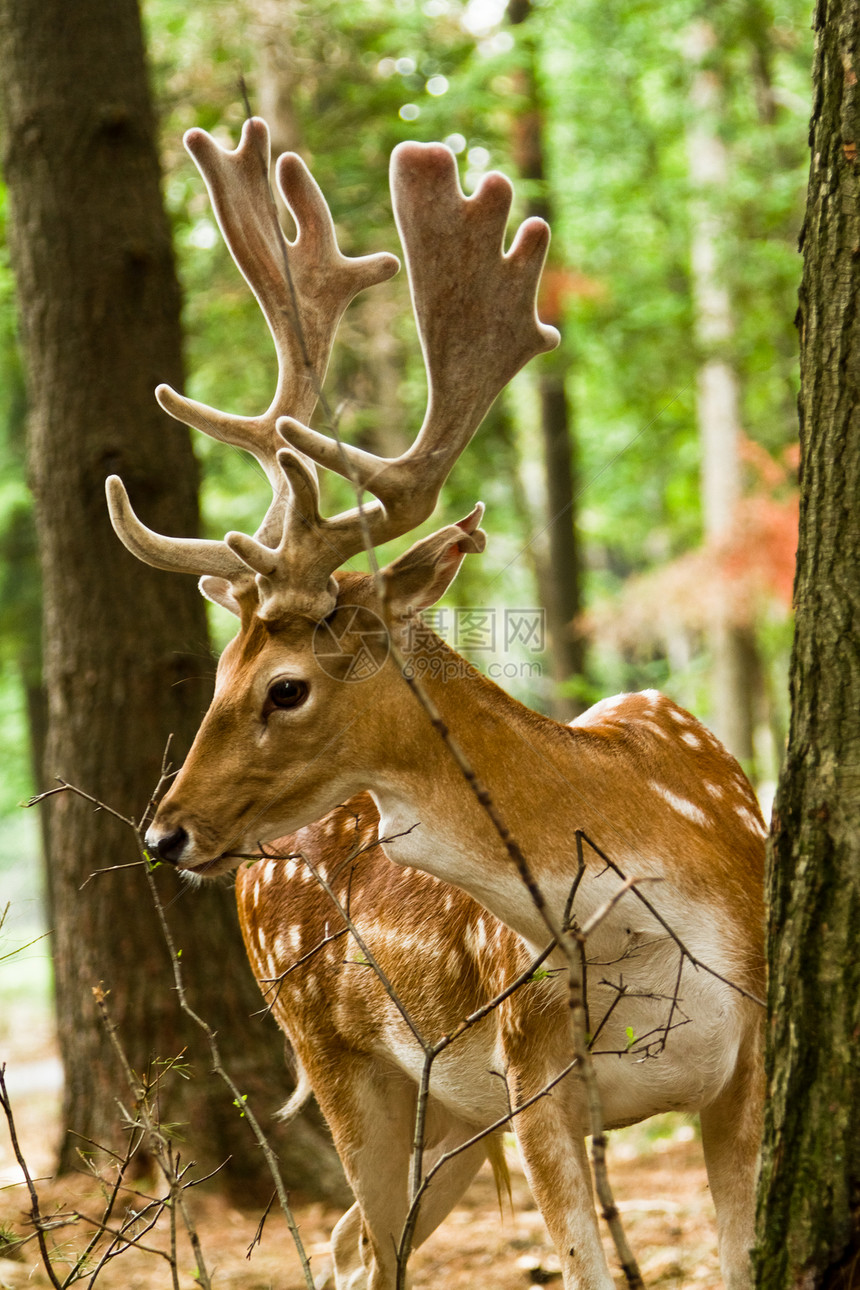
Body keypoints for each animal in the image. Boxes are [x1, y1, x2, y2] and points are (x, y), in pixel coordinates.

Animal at [107, 121, 768, 1290]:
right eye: (221, 671)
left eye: (283, 685)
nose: (163, 831)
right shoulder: (533, 1072)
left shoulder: (747, 1057)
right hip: (339, 1057)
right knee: (363, 1250)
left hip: (447, 1119)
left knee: (344, 1244)